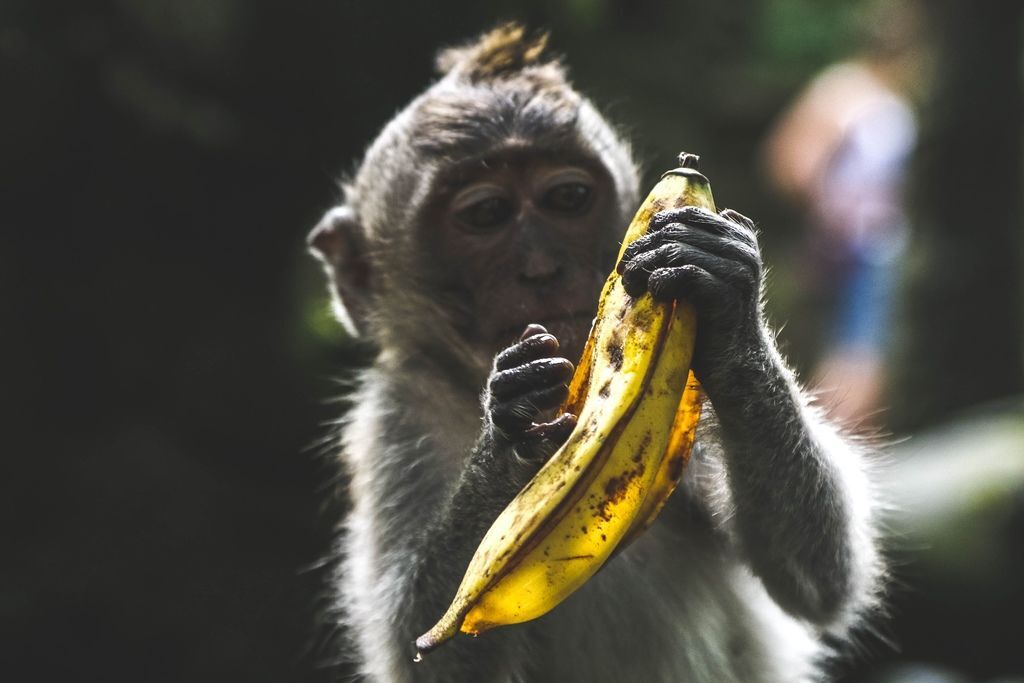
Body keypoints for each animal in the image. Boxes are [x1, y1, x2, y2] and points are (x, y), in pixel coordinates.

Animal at [307, 24, 884, 683]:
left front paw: (732, 312)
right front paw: (511, 428)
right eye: (486, 214)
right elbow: (417, 654)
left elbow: (816, 578)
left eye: (568, 199)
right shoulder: (392, 425)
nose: (542, 266)